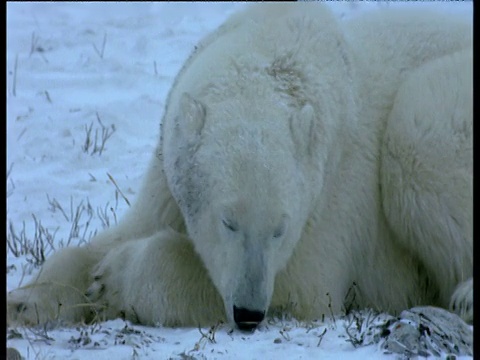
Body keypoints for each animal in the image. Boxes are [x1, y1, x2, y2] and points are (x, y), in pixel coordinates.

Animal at [6, 2, 472, 330]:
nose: (249, 312)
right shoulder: (167, 169)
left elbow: (302, 285)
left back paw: (465, 296)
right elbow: (124, 231)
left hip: (436, 110)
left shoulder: (331, 198)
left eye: (279, 229)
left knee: (417, 131)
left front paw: (110, 281)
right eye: (228, 222)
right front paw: (26, 300)